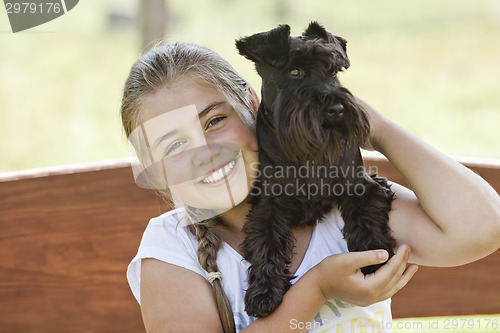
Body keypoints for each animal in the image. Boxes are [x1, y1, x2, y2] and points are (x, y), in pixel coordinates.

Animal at [236, 22, 396, 318]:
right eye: (294, 71)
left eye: (333, 71)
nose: (337, 109)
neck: (308, 155)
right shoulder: (269, 205)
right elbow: (267, 245)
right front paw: (263, 293)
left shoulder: (359, 186)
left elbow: (366, 218)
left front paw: (374, 258)